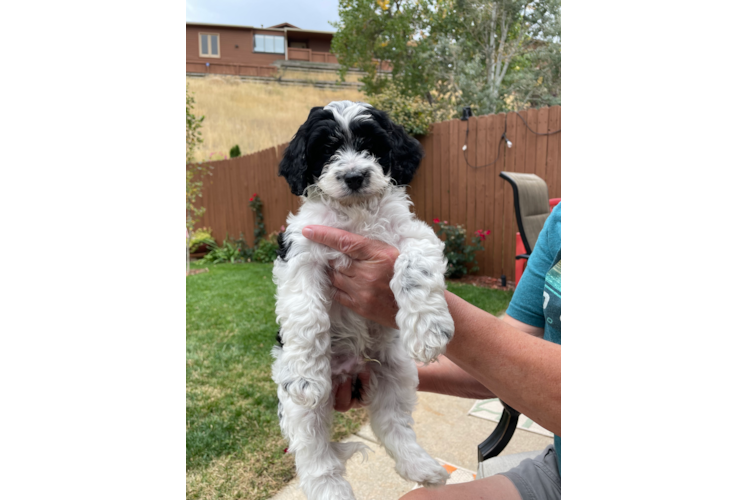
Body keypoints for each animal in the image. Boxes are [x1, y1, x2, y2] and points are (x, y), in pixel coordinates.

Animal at [272, 99, 452, 498]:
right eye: (326, 150)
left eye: (371, 144)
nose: (354, 176)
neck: (355, 213)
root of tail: (351, 370)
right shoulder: (302, 253)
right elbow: (306, 313)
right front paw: (304, 374)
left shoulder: (412, 234)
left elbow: (415, 266)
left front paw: (429, 330)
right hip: (303, 410)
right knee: (314, 453)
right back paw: (332, 490)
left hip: (396, 371)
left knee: (393, 424)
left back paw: (422, 467)